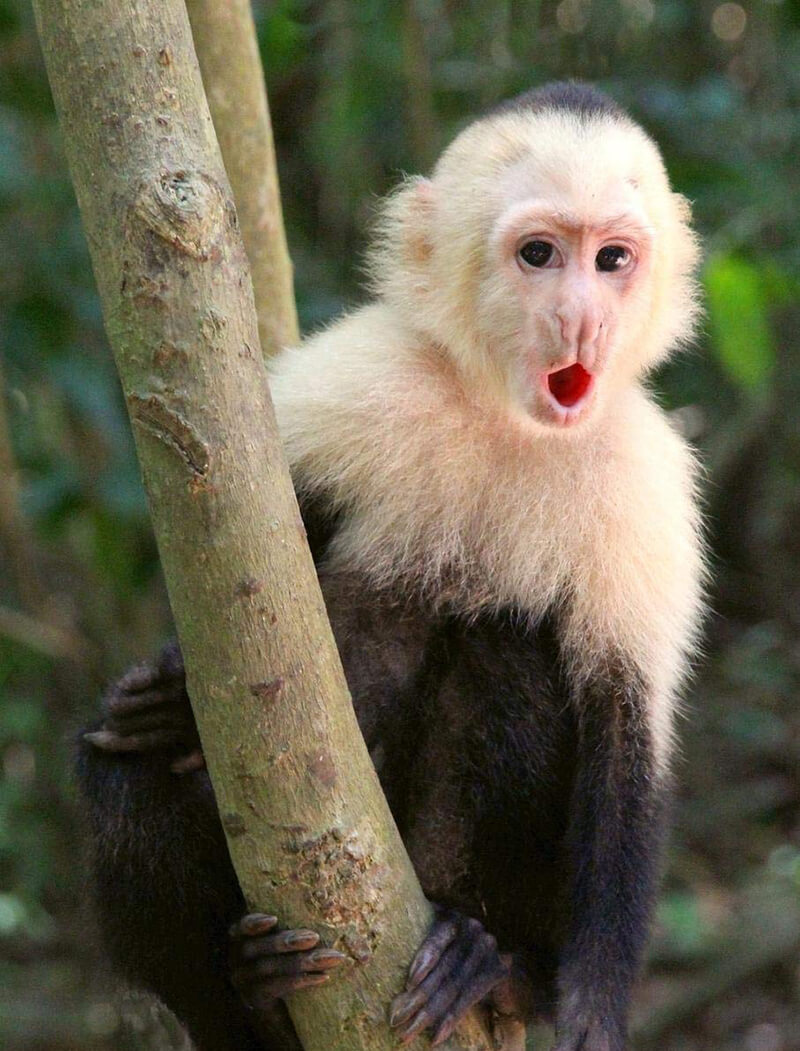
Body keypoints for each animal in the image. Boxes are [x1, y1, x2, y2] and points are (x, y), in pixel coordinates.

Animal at [76, 82, 705, 1051]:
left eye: (612, 260)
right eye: (539, 254)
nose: (581, 320)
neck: (503, 415)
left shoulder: (647, 484)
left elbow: (625, 732)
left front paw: (590, 1006)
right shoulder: (355, 380)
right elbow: (231, 564)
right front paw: (170, 687)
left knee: (510, 647)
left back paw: (490, 959)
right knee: (125, 764)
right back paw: (249, 992)